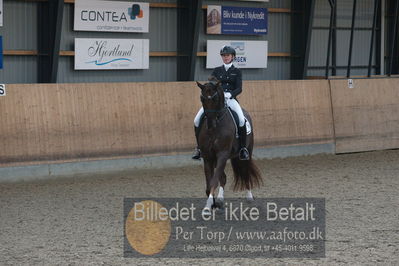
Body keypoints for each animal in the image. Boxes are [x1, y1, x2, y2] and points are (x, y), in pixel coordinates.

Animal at [196, 79, 262, 214]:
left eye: (215, 99)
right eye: (202, 98)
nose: (210, 124)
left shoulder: (222, 154)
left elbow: (213, 182)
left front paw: (209, 206)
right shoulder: (208, 157)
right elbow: (210, 183)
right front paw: (211, 205)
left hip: (246, 153)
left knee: (245, 172)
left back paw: (249, 197)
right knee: (223, 178)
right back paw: (220, 200)